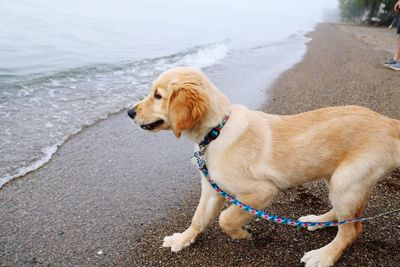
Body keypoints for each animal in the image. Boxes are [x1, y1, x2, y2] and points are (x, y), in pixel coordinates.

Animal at [128, 67, 400, 267]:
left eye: (158, 96)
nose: (130, 112)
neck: (217, 130)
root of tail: (388, 123)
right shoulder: (212, 188)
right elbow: (199, 218)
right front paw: (183, 238)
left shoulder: (261, 192)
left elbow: (226, 218)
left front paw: (240, 233)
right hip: (338, 179)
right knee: (348, 217)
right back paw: (318, 220)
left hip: (346, 181)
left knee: (352, 229)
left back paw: (324, 255)